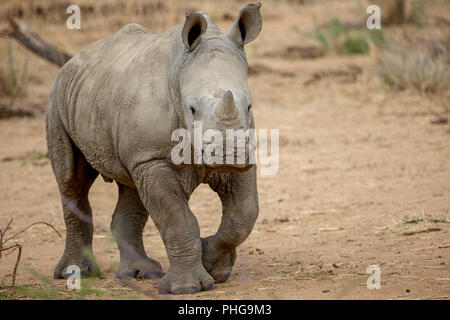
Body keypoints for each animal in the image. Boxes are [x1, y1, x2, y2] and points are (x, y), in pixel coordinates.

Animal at [46, 3, 260, 296]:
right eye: (192, 109)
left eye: (249, 106)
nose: (227, 155)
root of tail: (72, 59)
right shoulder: (152, 157)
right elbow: (176, 217)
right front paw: (187, 287)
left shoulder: (242, 147)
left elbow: (243, 213)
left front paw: (213, 265)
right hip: (58, 97)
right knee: (72, 180)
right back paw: (75, 274)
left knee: (131, 187)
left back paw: (140, 274)